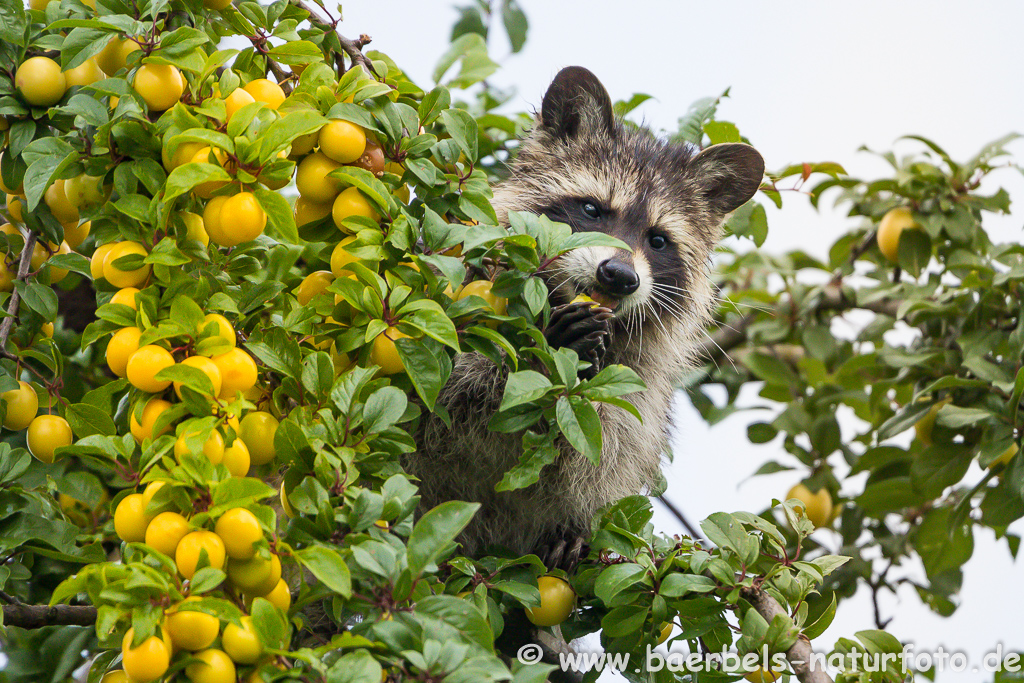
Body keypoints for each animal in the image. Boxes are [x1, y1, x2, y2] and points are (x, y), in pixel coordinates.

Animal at [407, 65, 761, 565]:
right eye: (592, 209)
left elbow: (612, 440)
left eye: (658, 240)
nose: (619, 276)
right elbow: (447, 386)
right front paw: (549, 347)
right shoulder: (452, 285)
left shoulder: (641, 377)